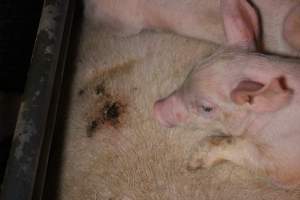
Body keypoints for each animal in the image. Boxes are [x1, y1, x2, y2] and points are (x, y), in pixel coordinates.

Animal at [155, 0, 300, 188]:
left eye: (206, 108)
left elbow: (247, 151)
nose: (156, 108)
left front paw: (193, 162)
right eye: (192, 70)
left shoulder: (285, 163)